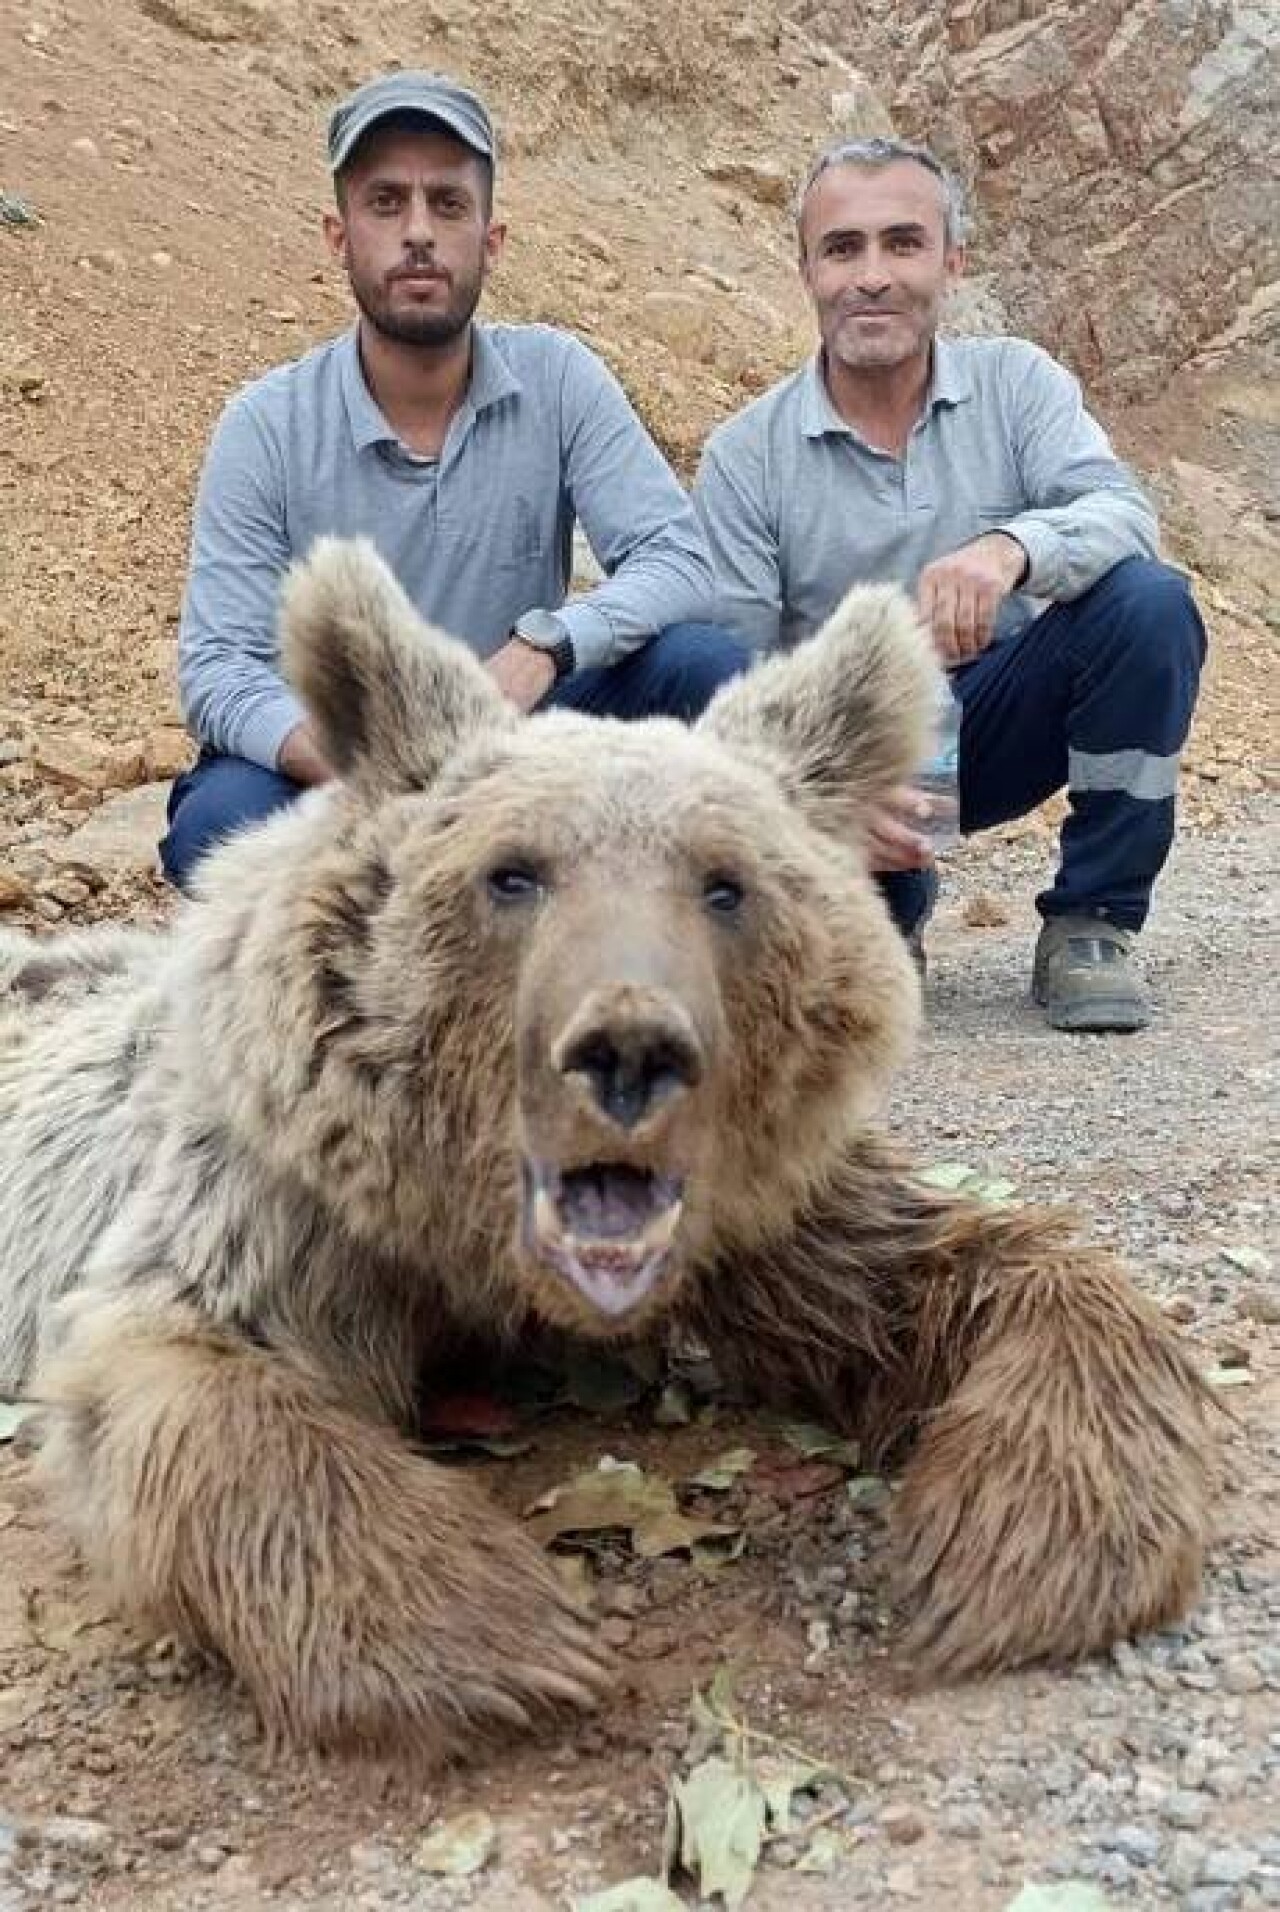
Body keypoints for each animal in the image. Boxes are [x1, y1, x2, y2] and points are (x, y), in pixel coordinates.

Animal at [0, 535, 1216, 1759]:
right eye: (512, 872)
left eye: (725, 884)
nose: (630, 1049)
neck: (479, 1247)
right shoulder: (287, 1200)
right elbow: (185, 1370)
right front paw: (504, 1635)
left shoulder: (755, 1210)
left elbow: (960, 1265)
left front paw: (1015, 1542)